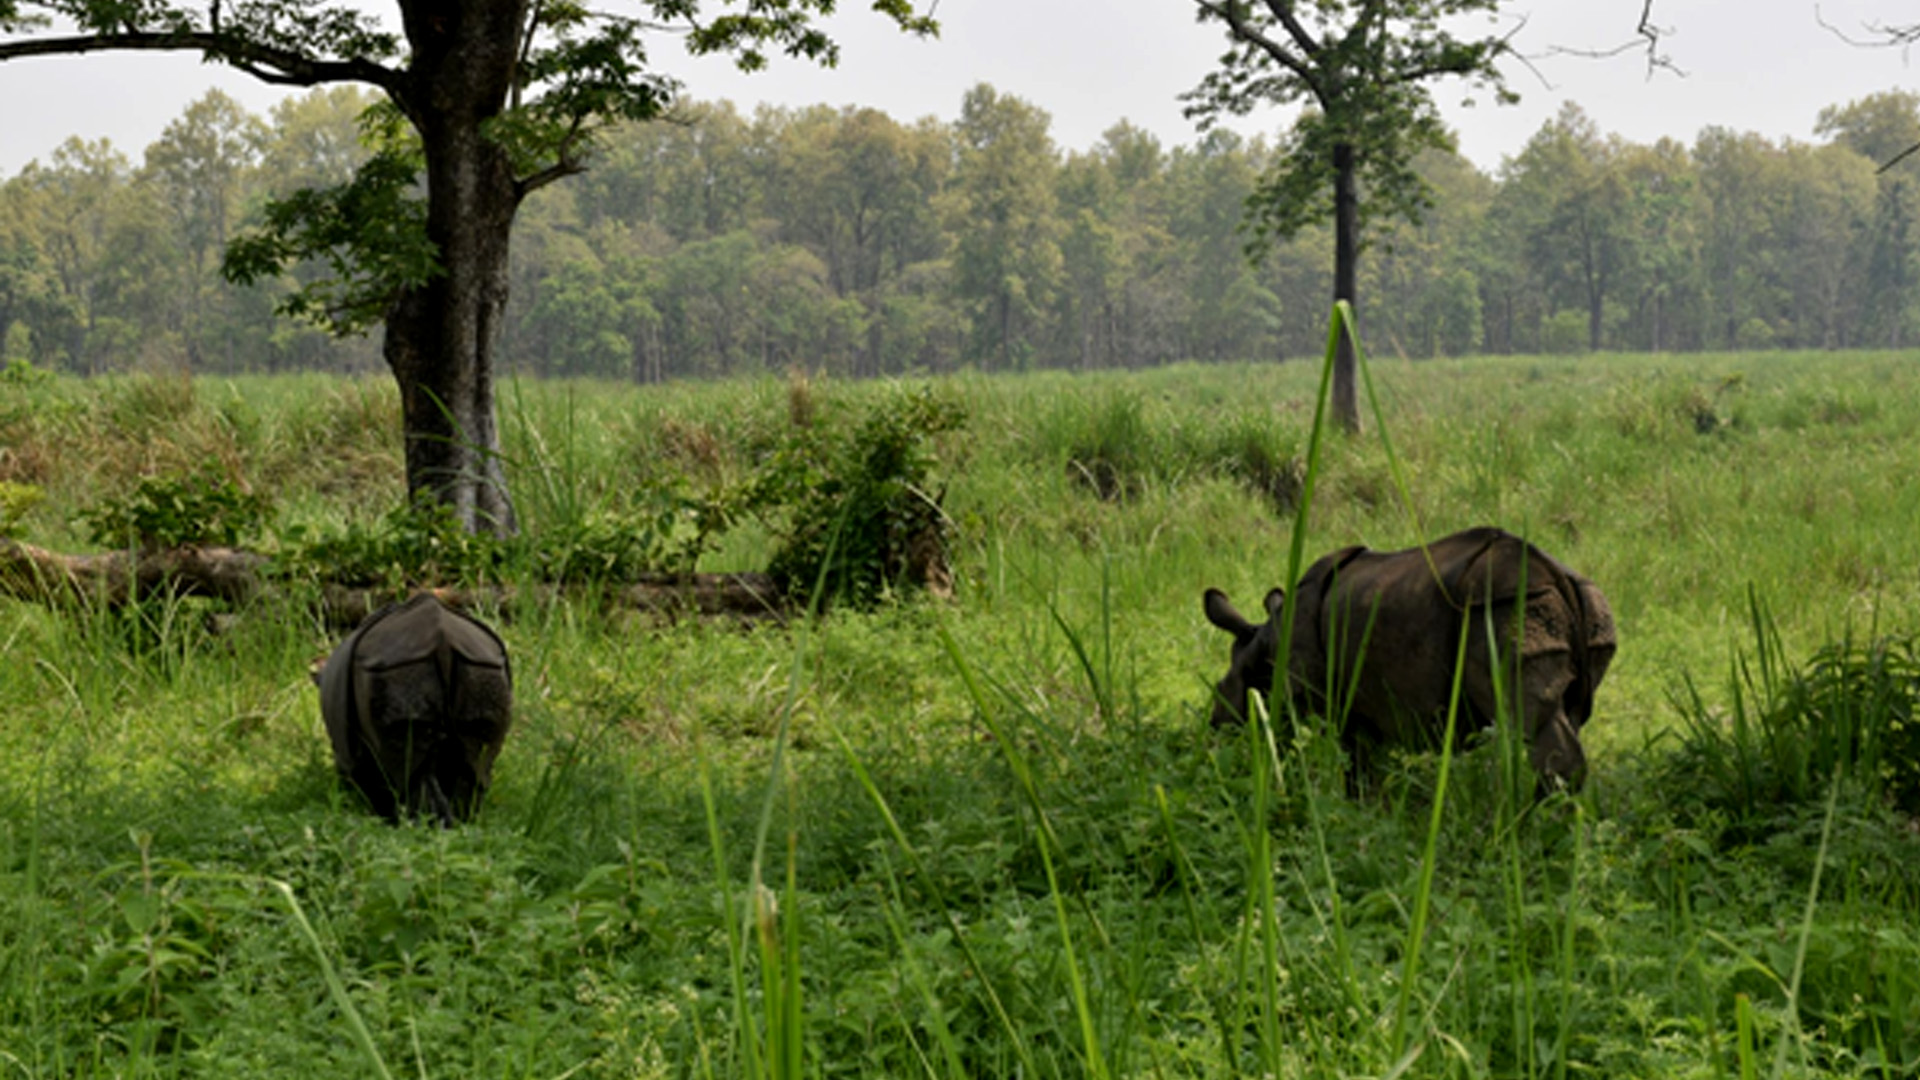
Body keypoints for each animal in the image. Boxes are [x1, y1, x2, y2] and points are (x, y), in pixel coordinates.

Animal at [314, 591, 514, 818]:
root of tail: (442, 641)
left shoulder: (348, 755)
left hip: (397, 668)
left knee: (411, 769)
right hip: (482, 665)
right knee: (475, 763)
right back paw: (462, 821)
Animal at [1205, 522, 1612, 787]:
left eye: (1221, 690)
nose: (1215, 728)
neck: (1264, 641)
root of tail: (1555, 575)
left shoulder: (1304, 689)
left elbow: (1298, 742)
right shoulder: (1362, 702)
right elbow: (1362, 760)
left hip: (1503, 606)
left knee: (1529, 718)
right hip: (1585, 606)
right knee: (1568, 713)